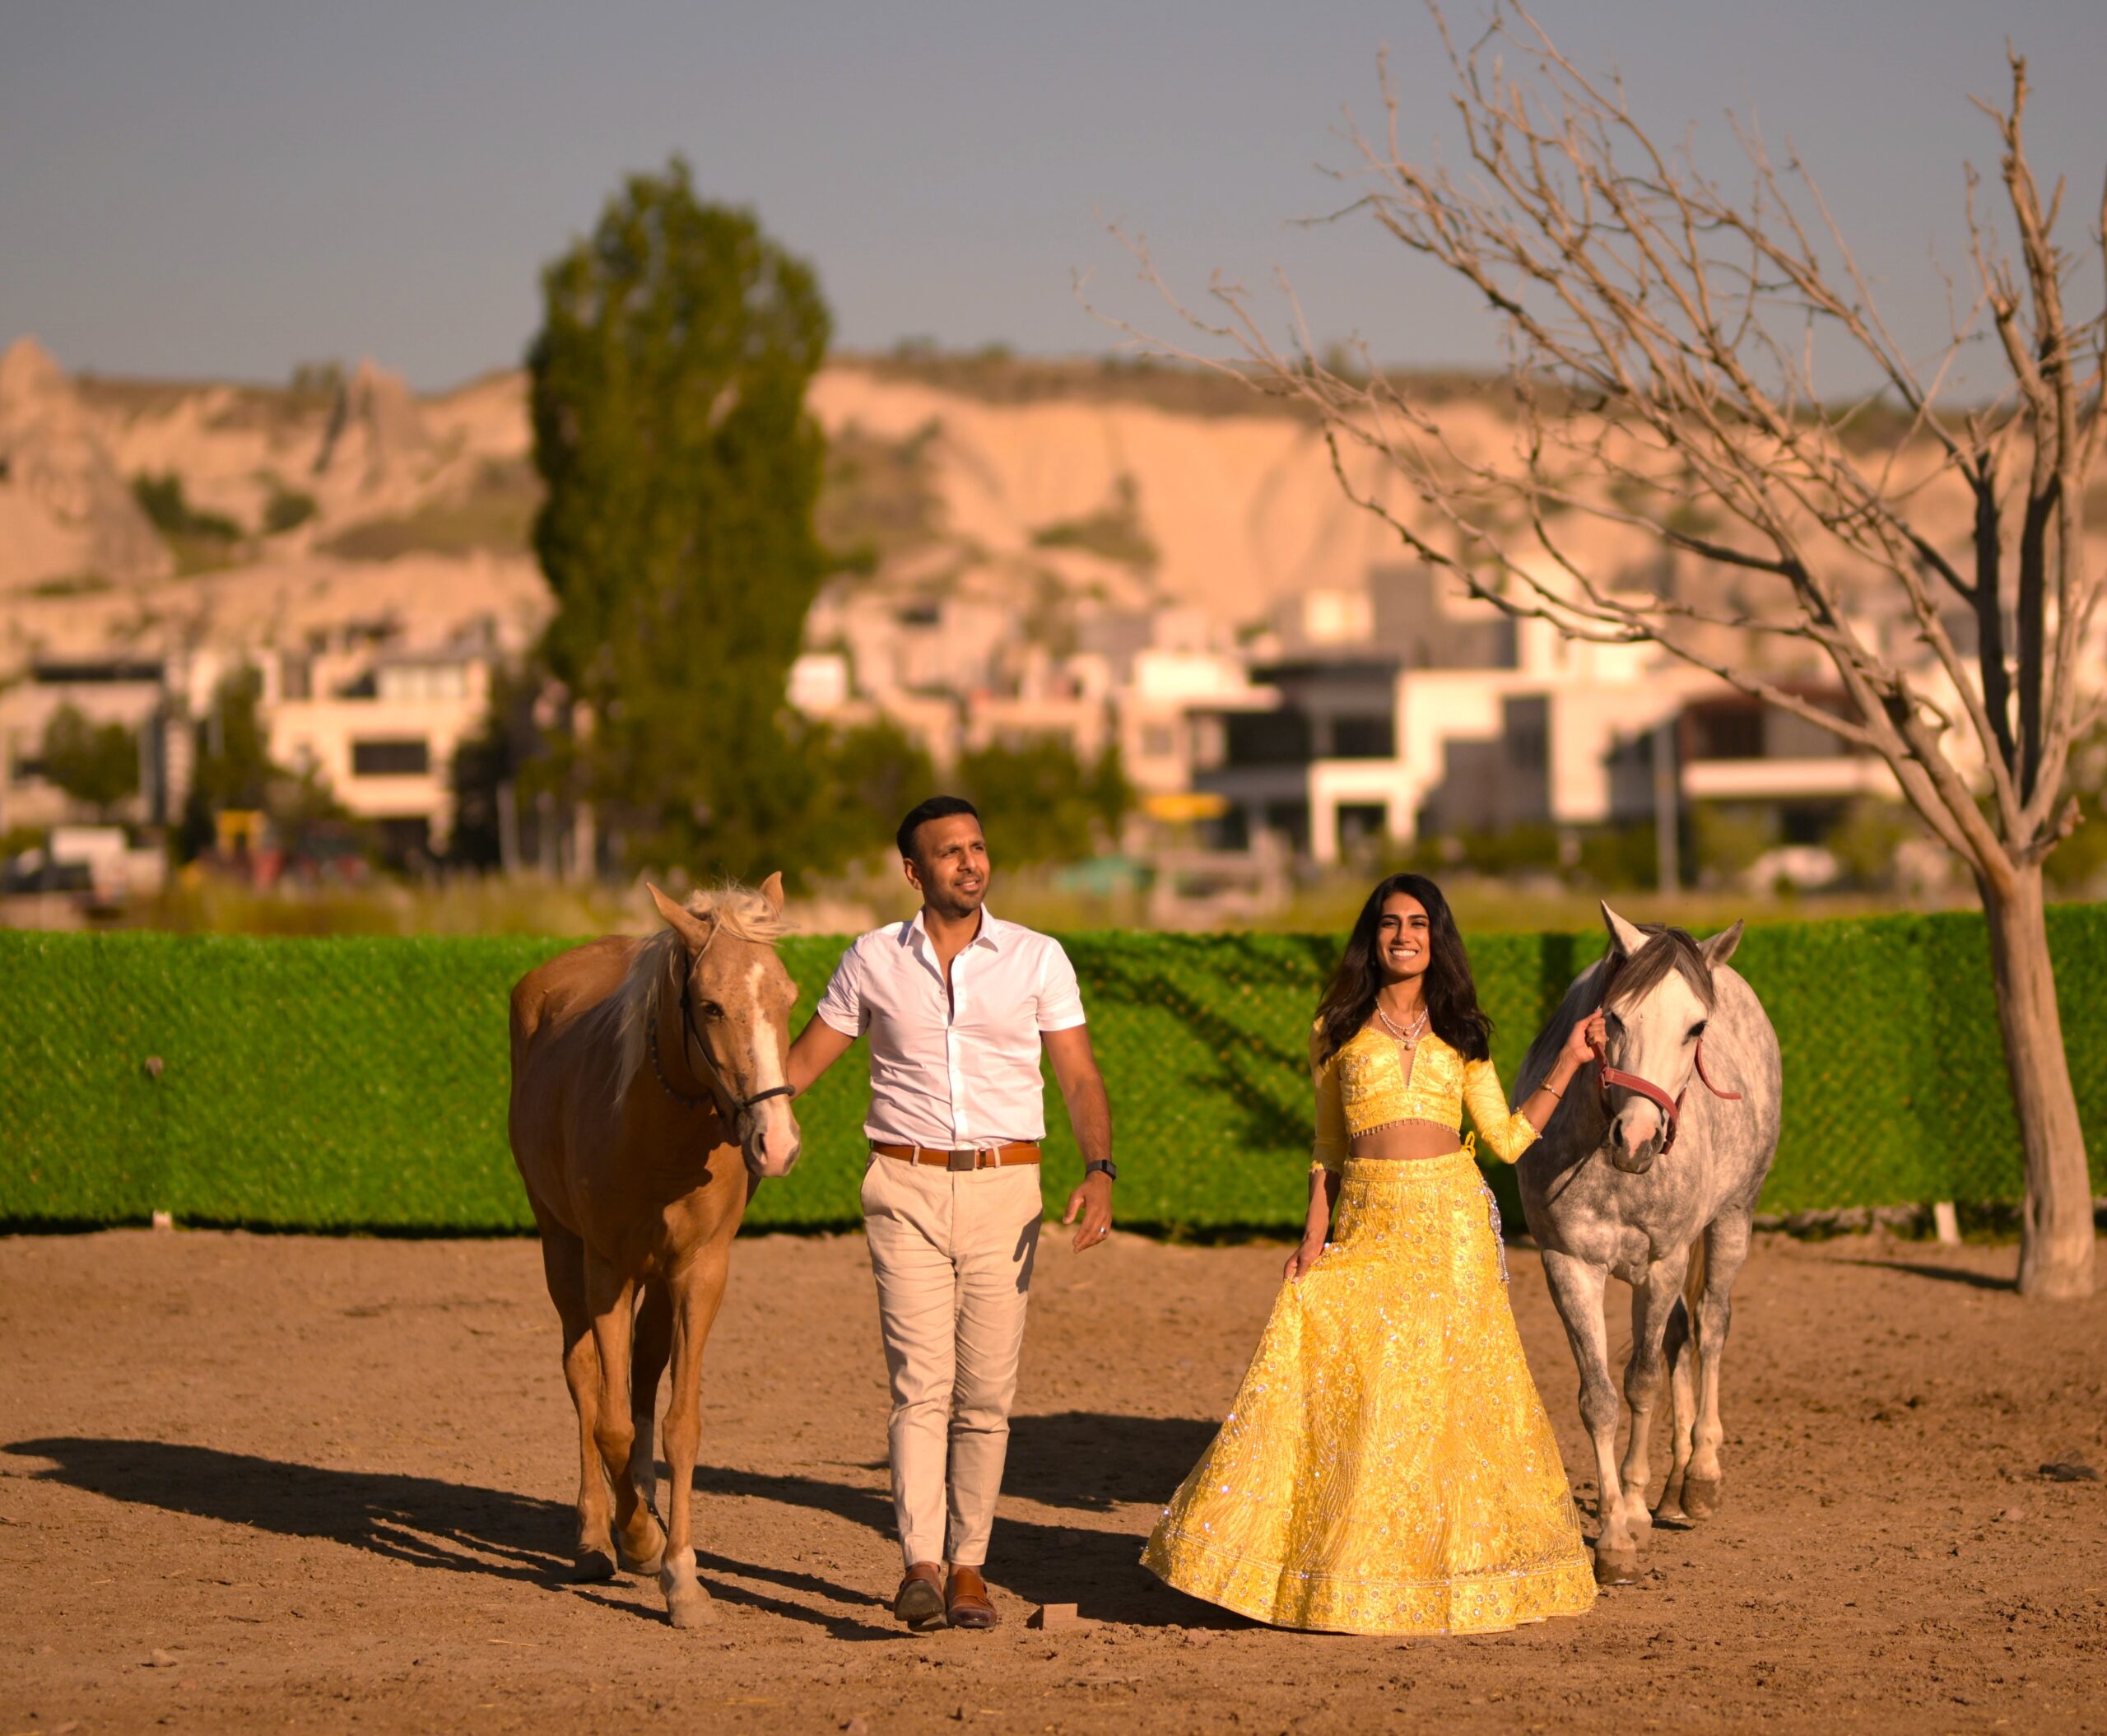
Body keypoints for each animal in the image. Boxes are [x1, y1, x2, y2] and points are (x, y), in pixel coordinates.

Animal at [509, 880, 804, 1626]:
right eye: (711, 1005)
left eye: (788, 995)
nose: (777, 1143)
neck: (657, 1131)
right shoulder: (606, 1268)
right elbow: (609, 1421)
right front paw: (639, 1538)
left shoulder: (700, 1273)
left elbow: (678, 1423)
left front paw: (680, 1572)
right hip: (562, 1251)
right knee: (585, 1377)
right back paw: (597, 1532)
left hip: (658, 1279)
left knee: (641, 1374)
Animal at [1517, 910, 1778, 1584]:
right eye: (1614, 1017)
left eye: (1696, 1027)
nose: (1636, 1139)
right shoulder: (1568, 1266)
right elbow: (1601, 1398)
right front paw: (1614, 1533)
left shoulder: (1663, 1263)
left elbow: (1641, 1382)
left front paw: (1630, 1511)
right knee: (1680, 1336)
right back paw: (1674, 1487)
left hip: (1731, 1222)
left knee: (1710, 1326)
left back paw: (1701, 1477)